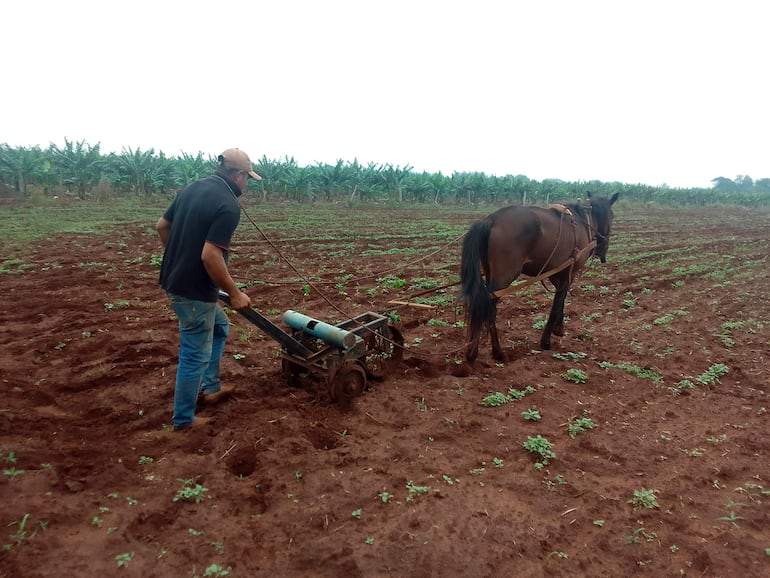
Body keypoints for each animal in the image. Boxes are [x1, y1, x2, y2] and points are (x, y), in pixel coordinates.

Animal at [456, 191, 616, 360]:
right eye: (612, 215)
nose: (602, 251)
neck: (583, 222)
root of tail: (491, 219)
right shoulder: (569, 272)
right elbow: (558, 300)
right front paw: (546, 341)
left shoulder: (555, 271)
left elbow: (561, 298)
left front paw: (559, 328)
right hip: (504, 276)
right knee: (489, 307)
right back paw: (494, 352)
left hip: (489, 272)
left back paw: (474, 351)